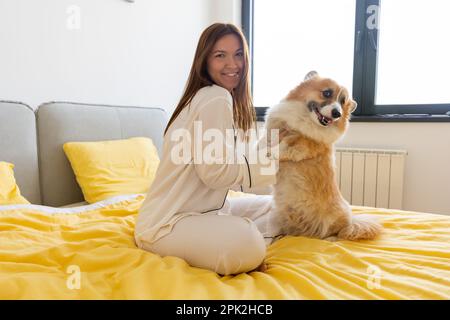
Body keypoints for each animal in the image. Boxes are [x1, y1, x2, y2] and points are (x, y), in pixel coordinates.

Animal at [266, 70, 382, 240]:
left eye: (342, 102)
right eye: (327, 93)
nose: (337, 113)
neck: (304, 119)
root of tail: (351, 220)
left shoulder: (302, 145)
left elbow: (285, 147)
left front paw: (269, 153)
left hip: (335, 222)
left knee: (337, 232)